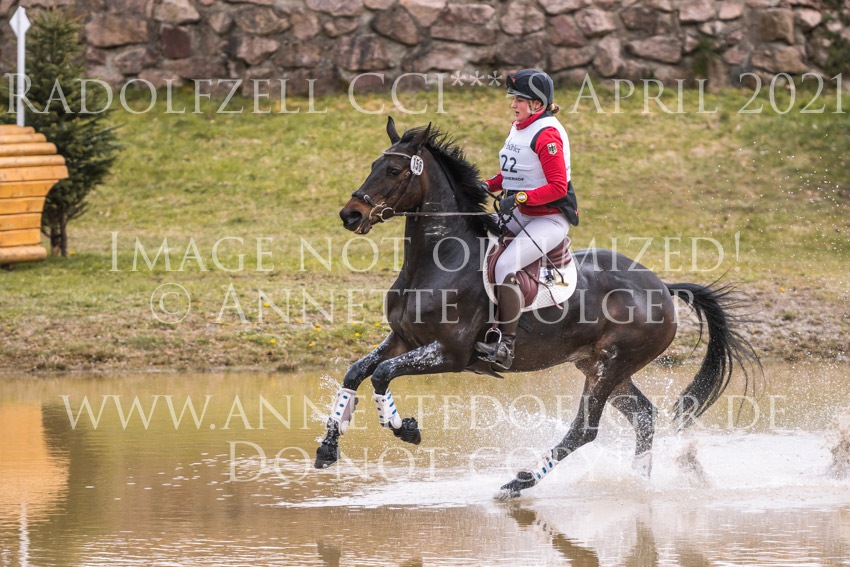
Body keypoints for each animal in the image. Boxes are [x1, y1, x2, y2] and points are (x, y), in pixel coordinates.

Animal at [315, 117, 759, 498]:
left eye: (394, 171)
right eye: (374, 165)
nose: (350, 214)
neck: (437, 261)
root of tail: (663, 287)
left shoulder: (449, 353)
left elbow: (382, 375)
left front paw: (404, 428)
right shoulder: (404, 339)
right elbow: (357, 371)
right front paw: (327, 447)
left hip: (610, 365)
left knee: (584, 429)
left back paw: (521, 480)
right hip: (599, 365)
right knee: (644, 416)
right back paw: (638, 482)